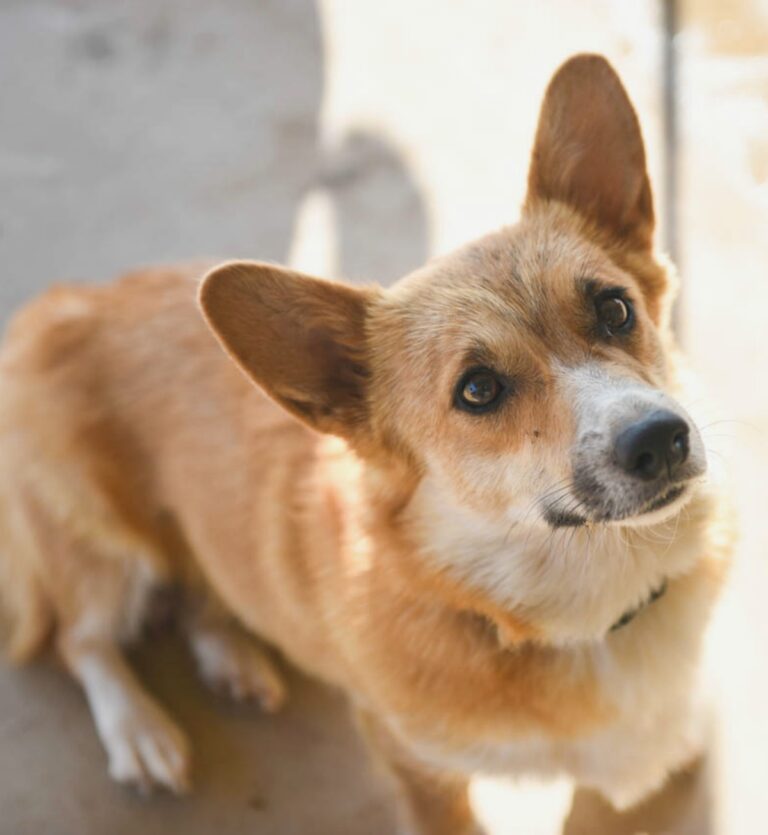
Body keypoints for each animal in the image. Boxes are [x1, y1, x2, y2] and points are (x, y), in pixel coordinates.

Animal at [0, 55, 732, 832]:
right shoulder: (423, 770)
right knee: (81, 638)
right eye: (478, 389)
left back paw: (232, 656)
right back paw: (139, 729)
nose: (660, 439)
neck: (586, 609)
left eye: (614, 309)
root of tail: (67, 299)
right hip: (103, 537)